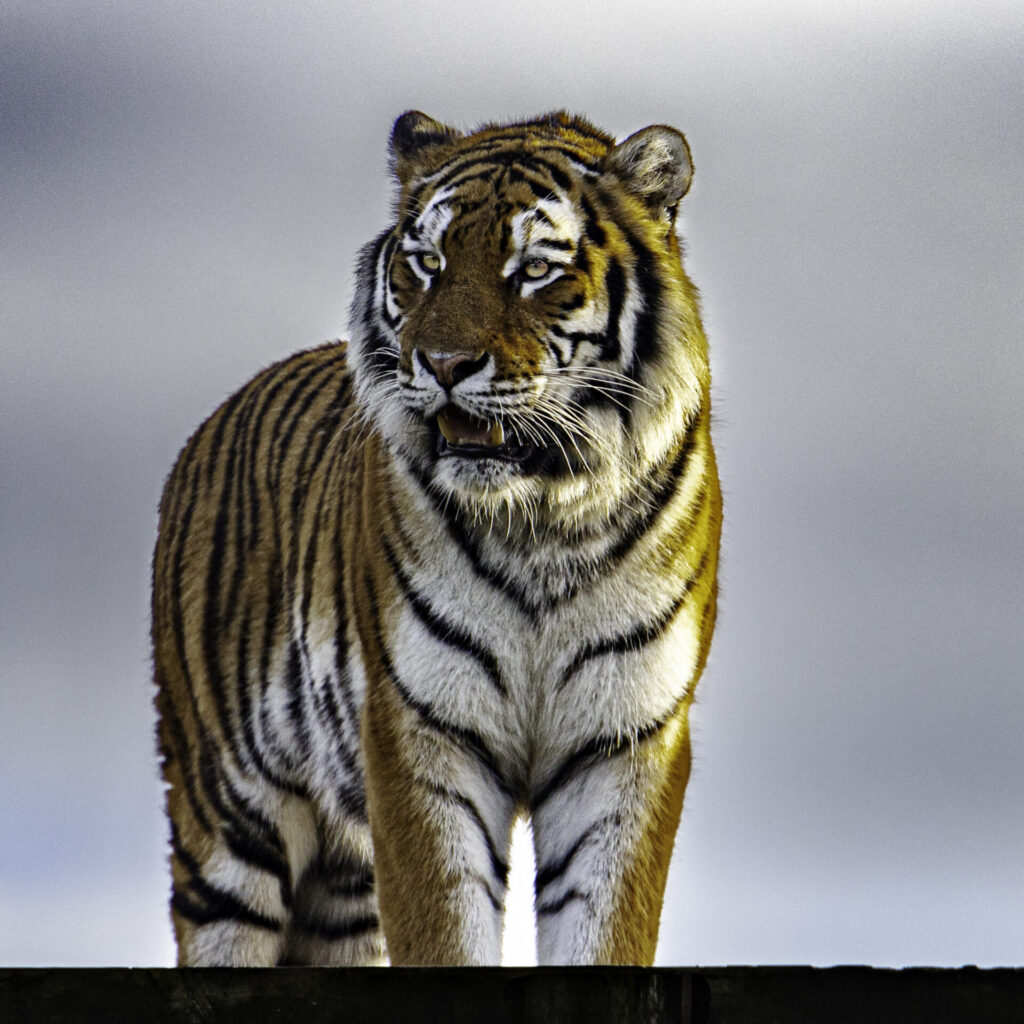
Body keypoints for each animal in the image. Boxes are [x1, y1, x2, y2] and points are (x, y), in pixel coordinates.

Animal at [152, 110, 721, 967]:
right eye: (427, 263)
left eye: (533, 269)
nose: (445, 364)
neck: (545, 517)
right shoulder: (421, 732)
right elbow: (446, 930)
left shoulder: (624, 742)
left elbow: (603, 931)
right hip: (228, 819)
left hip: (344, 887)